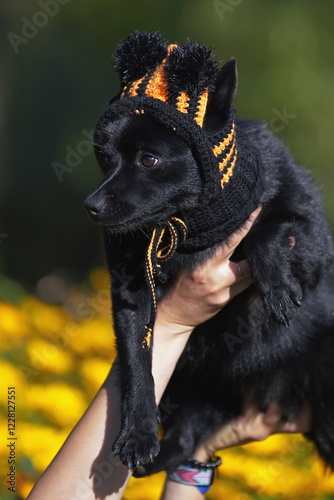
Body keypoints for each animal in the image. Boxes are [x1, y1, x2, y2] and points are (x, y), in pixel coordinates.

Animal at [83, 32, 334, 472]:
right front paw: (138, 433)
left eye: (149, 159)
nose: (91, 206)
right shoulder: (131, 298)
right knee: (183, 442)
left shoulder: (312, 240)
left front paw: (278, 289)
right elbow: (138, 365)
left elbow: (264, 231)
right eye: (105, 158)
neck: (189, 229)